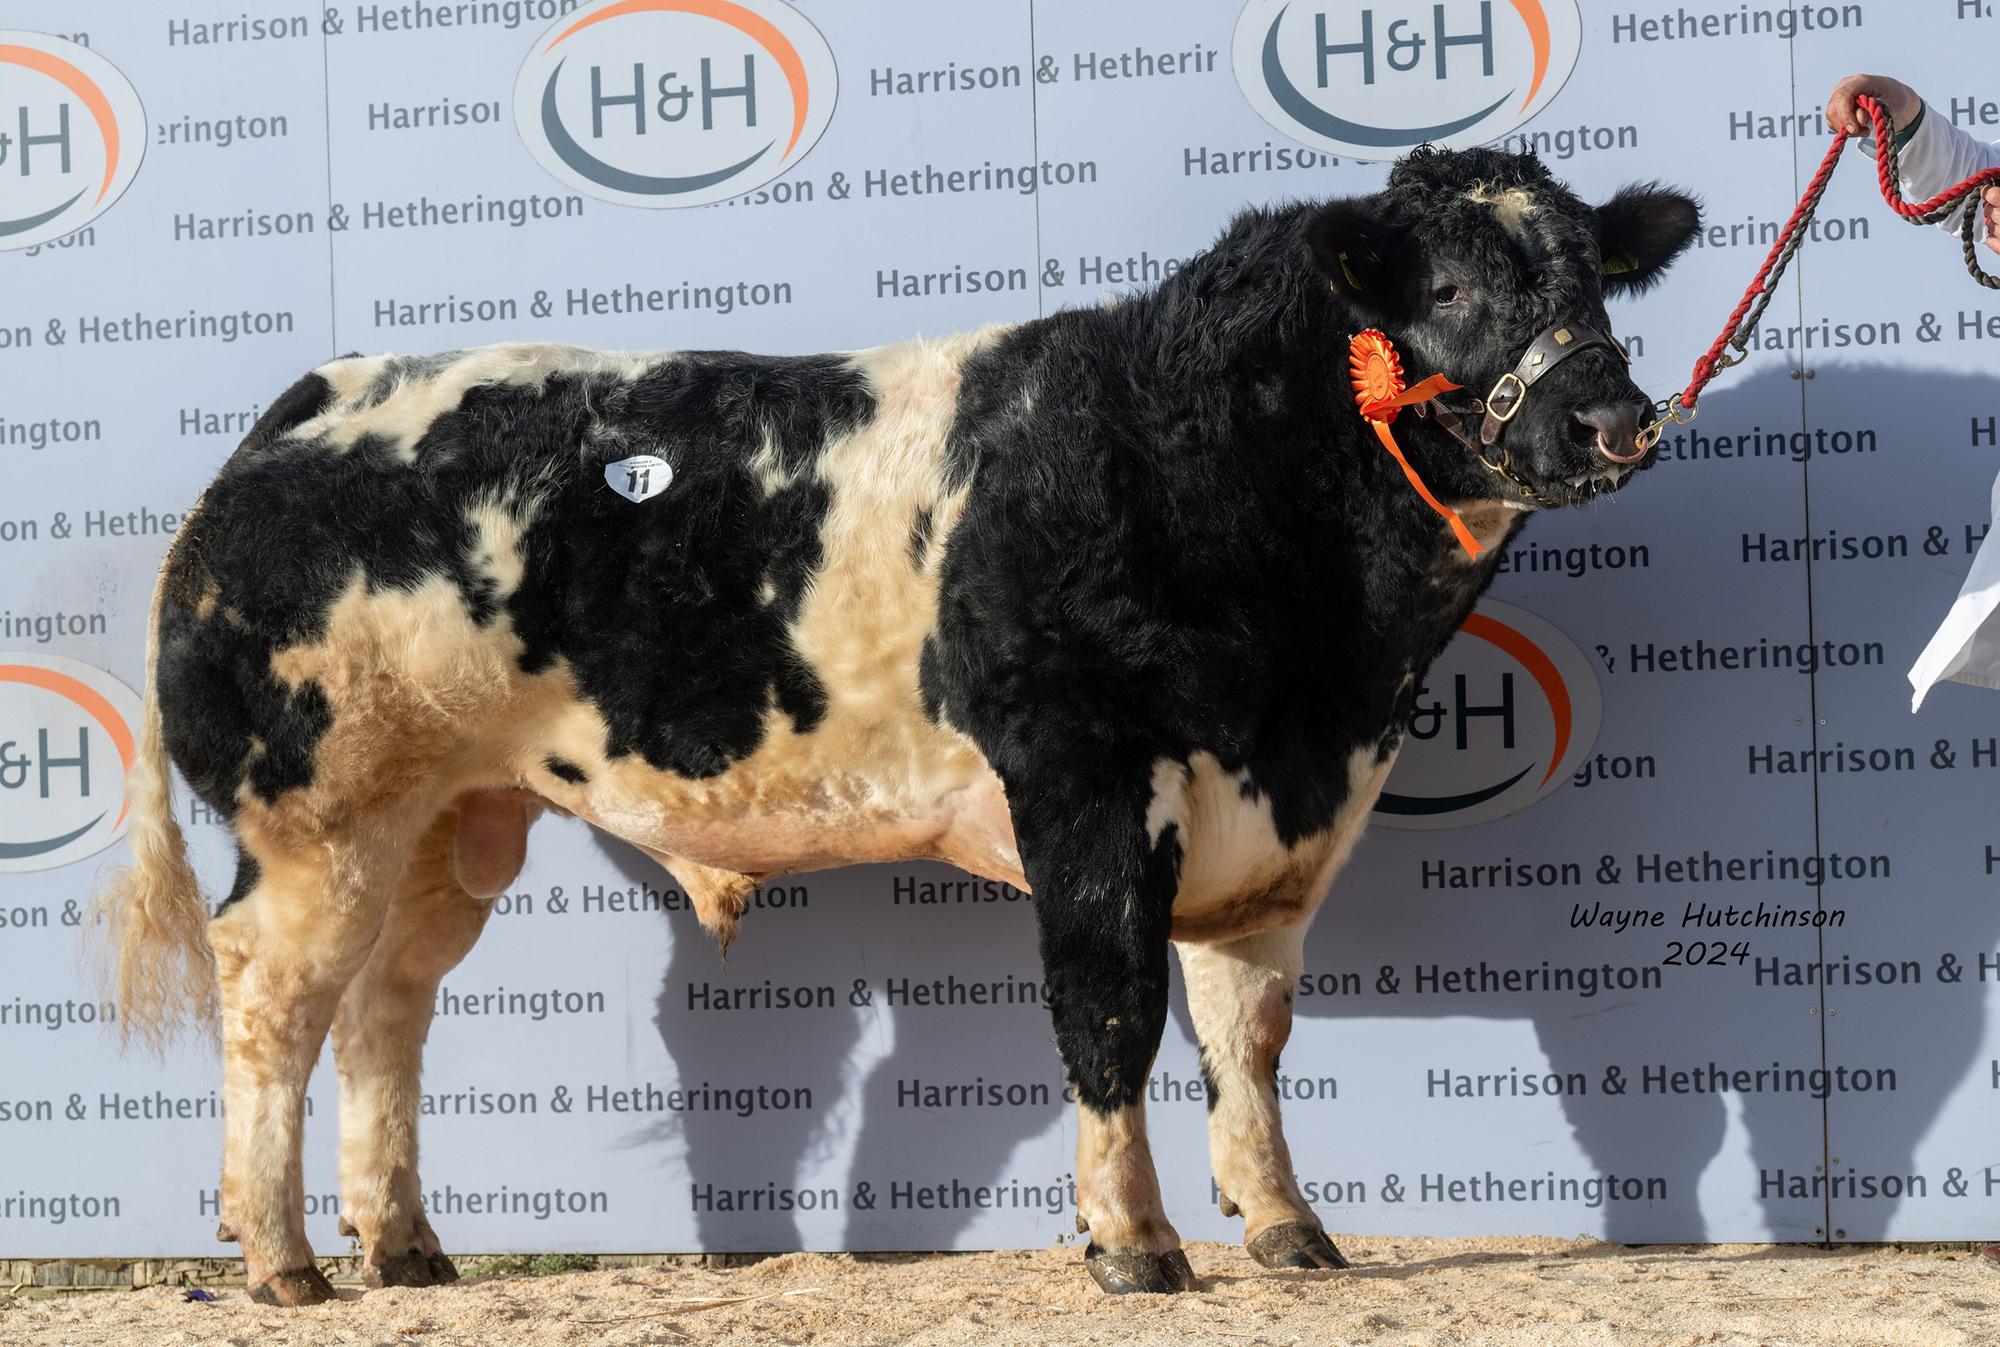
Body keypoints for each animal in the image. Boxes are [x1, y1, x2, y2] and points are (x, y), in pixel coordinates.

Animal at [98, 145, 1699, 1304]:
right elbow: (1110, 1010)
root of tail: (321, 397)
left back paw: (405, 1247)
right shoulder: (1085, 783)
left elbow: (1247, 1033)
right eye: (1452, 290)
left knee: (387, 1006)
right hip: (314, 809)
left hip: (449, 815)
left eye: (1596, 283)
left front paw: (1289, 1228)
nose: (1614, 418)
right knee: (275, 996)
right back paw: (283, 1261)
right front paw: (1134, 1243)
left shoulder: (1275, 813)